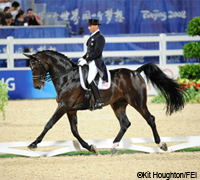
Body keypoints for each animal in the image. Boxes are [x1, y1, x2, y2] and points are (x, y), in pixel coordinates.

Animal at [23, 50, 186, 154]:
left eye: (35, 66)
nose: (37, 86)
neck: (67, 77)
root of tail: (135, 72)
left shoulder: (64, 106)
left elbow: (49, 124)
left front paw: (33, 144)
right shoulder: (70, 109)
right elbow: (74, 131)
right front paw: (91, 147)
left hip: (138, 102)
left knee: (150, 119)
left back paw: (161, 144)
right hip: (118, 104)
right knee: (125, 123)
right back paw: (113, 146)